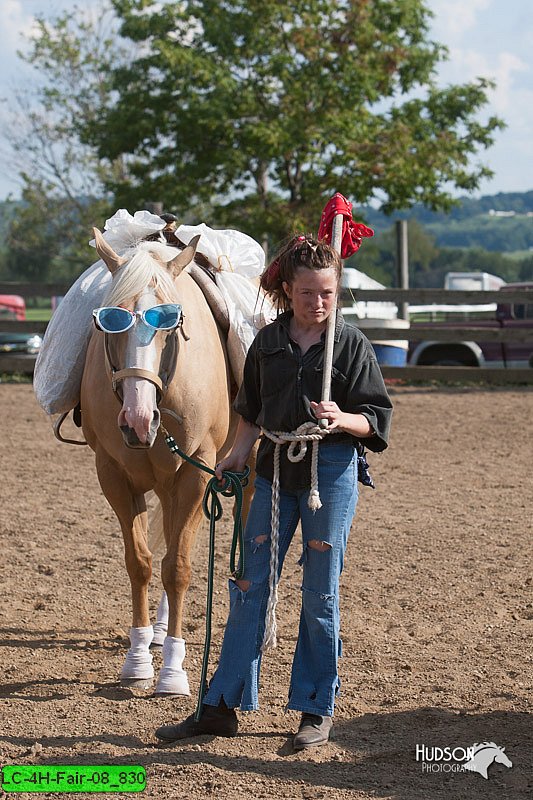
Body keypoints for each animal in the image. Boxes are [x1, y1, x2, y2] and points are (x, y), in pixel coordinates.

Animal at [80, 230, 245, 692]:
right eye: (110, 322)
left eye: (169, 324)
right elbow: (141, 563)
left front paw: (173, 671)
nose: (138, 420)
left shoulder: (196, 472)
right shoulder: (113, 474)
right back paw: (157, 629)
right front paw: (137, 660)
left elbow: (179, 570)